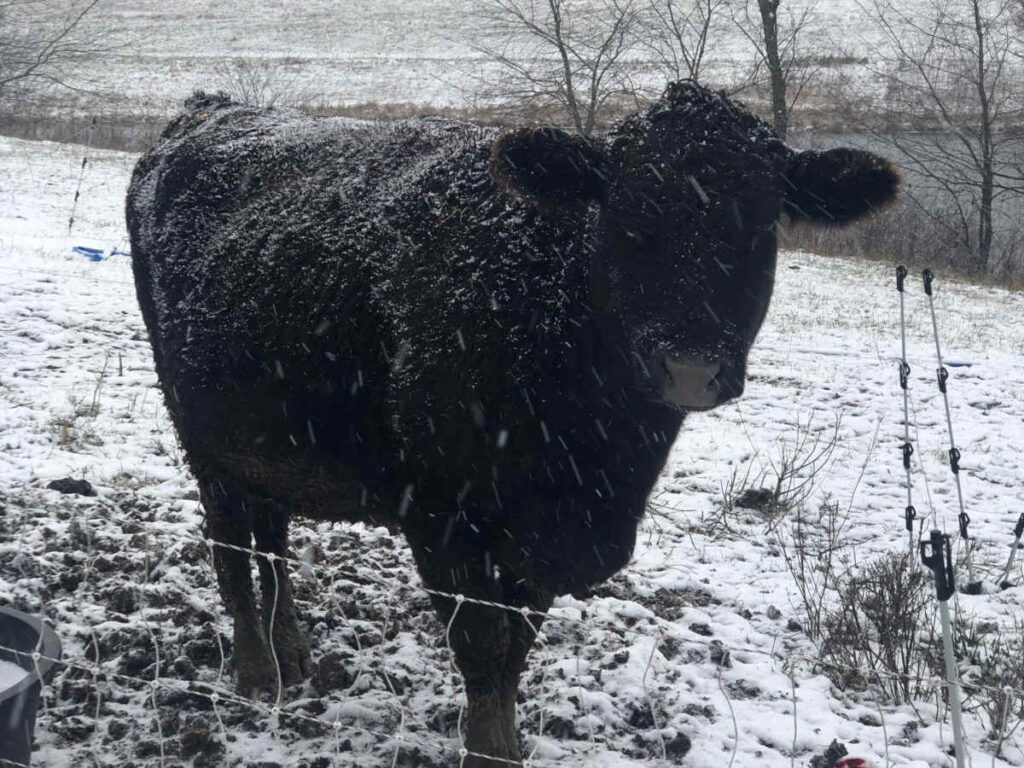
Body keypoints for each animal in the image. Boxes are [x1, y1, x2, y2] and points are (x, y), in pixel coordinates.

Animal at [126, 82, 899, 766]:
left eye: (761, 226)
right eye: (625, 222)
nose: (688, 365)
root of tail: (209, 109)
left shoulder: (548, 541)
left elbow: (517, 647)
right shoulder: (443, 516)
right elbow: (482, 644)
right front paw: (487, 751)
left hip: (264, 434)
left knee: (272, 538)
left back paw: (292, 651)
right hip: (193, 422)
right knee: (230, 540)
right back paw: (256, 669)